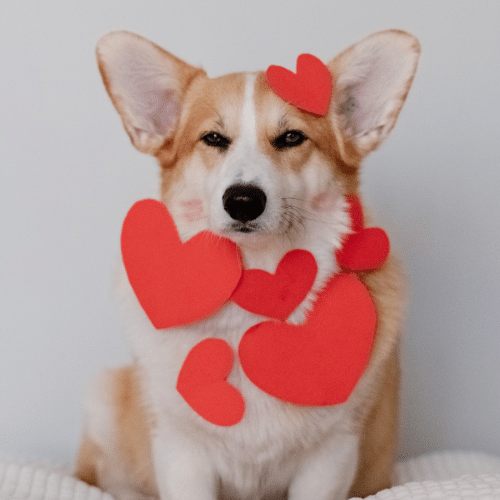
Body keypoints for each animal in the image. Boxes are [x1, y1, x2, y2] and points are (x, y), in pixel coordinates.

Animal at [74, 29, 418, 498]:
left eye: (291, 138)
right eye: (213, 139)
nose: (242, 201)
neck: (257, 287)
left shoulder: (331, 454)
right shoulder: (182, 451)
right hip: (105, 397)